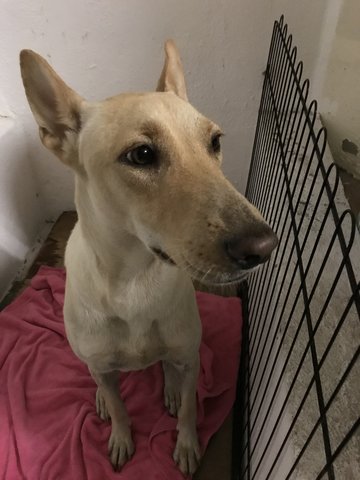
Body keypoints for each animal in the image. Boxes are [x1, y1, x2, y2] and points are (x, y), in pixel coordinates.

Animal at [20, 42, 278, 476]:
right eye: (141, 154)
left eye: (215, 141)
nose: (263, 246)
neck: (134, 282)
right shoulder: (103, 365)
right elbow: (121, 408)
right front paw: (122, 436)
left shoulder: (190, 356)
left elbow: (190, 406)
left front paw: (187, 443)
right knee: (100, 378)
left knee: (172, 370)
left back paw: (170, 387)